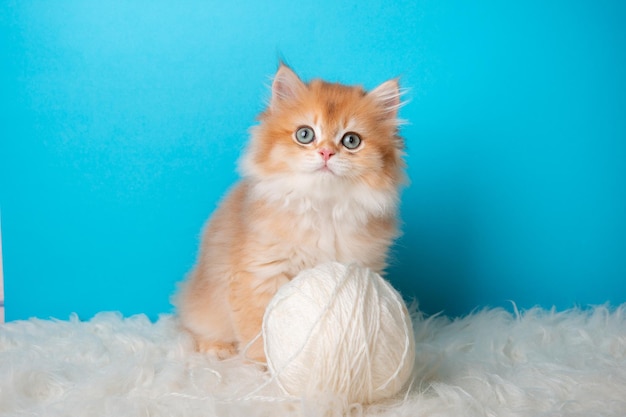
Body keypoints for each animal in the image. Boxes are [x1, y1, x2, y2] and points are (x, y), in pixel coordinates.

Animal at [173, 64, 404, 360]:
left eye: (351, 140)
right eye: (305, 135)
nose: (326, 153)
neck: (323, 208)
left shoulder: (361, 267)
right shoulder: (260, 277)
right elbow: (260, 334)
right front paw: (266, 368)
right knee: (192, 327)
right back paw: (216, 348)